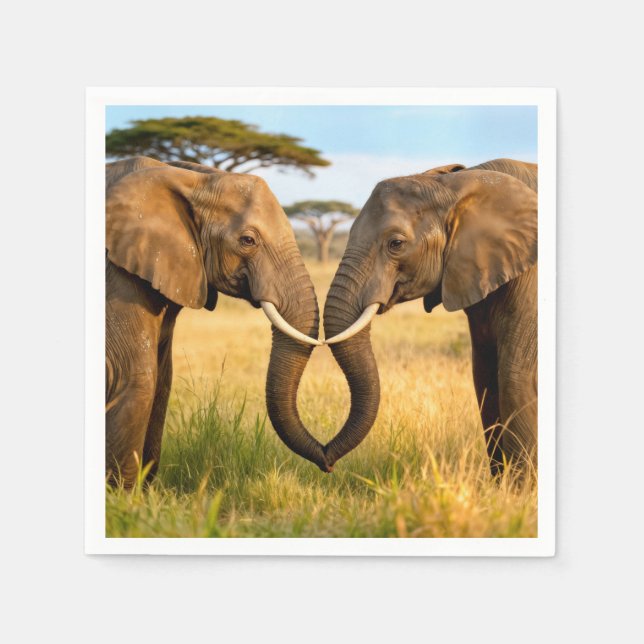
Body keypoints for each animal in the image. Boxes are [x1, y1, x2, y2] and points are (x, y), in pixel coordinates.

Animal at [105, 156, 329, 486]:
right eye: (248, 240)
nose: (328, 461)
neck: (188, 176)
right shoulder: (117, 277)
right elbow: (136, 378)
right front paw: (122, 496)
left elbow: (163, 381)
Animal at [320, 158, 538, 477]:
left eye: (396, 244)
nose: (325, 460)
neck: (461, 182)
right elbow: (486, 381)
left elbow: (516, 380)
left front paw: (520, 488)